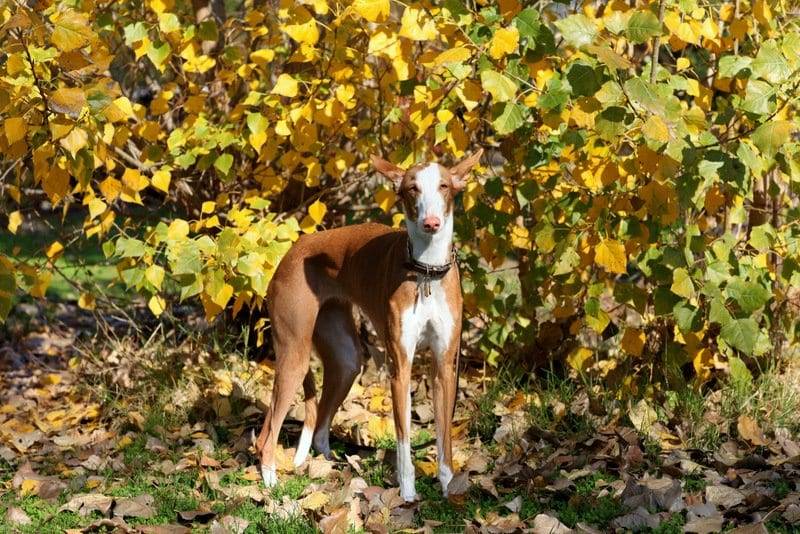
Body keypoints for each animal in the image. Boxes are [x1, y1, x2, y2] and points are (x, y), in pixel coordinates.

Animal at [255, 150, 482, 502]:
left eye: (444, 186)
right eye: (412, 188)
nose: (431, 223)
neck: (426, 272)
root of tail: (292, 251)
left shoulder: (445, 367)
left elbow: (444, 439)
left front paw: (449, 487)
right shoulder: (400, 368)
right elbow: (403, 441)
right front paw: (407, 495)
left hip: (347, 359)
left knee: (320, 426)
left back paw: (332, 467)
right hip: (294, 356)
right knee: (267, 435)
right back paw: (271, 484)